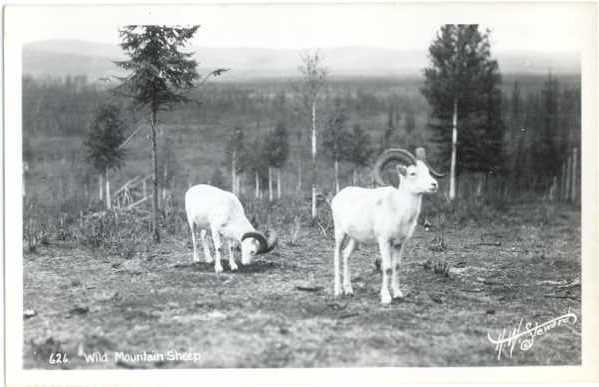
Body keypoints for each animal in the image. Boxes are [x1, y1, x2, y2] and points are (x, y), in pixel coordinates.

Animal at [332, 149, 446, 306]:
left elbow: (396, 266)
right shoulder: (384, 241)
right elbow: (386, 268)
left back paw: (349, 290)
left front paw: (398, 294)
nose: (434, 185)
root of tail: (338, 196)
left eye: (427, 171)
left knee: (346, 255)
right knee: (337, 256)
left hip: (355, 239)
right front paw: (386, 298)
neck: (399, 210)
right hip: (340, 234)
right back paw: (338, 291)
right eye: (412, 173)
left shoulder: (399, 244)